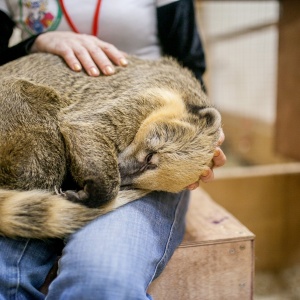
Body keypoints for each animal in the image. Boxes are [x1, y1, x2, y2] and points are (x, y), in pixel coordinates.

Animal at [0, 53, 220, 239]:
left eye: (144, 181)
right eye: (150, 157)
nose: (118, 170)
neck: (182, 92)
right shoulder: (143, 94)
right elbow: (85, 125)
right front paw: (98, 192)